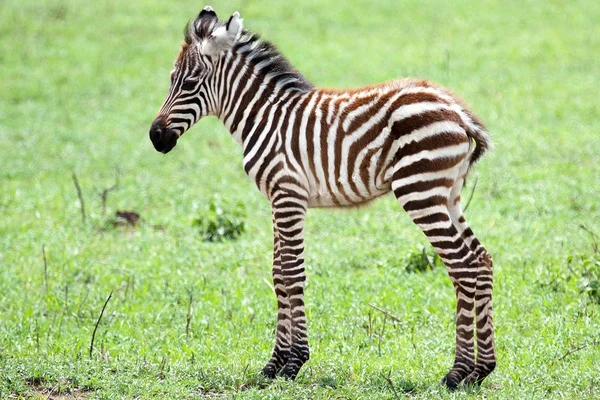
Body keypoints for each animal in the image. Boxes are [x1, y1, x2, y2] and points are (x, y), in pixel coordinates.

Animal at [149, 5, 496, 388]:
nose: (155, 137)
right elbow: (278, 274)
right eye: (171, 79)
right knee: (480, 260)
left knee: (462, 265)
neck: (264, 117)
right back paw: (481, 369)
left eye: (188, 83)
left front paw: (293, 363)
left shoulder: (287, 195)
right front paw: (273, 364)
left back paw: (458, 371)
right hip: (447, 194)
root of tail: (457, 110)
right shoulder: (278, 198)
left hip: (420, 191)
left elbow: (291, 273)